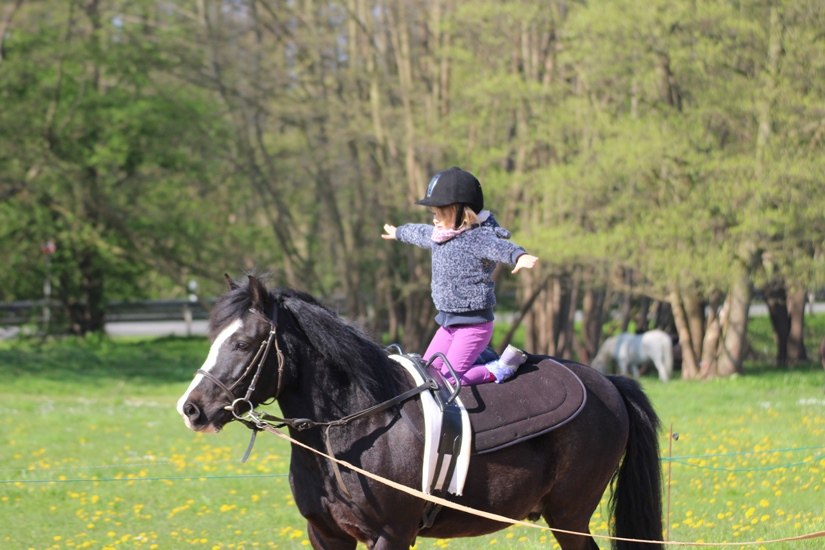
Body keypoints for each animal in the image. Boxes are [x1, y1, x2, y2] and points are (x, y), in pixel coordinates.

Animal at [176, 275, 663, 549]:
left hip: (570, 516)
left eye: (243, 344)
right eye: (214, 338)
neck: (355, 425)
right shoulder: (327, 535)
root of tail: (607, 381)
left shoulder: (391, 534)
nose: (192, 409)